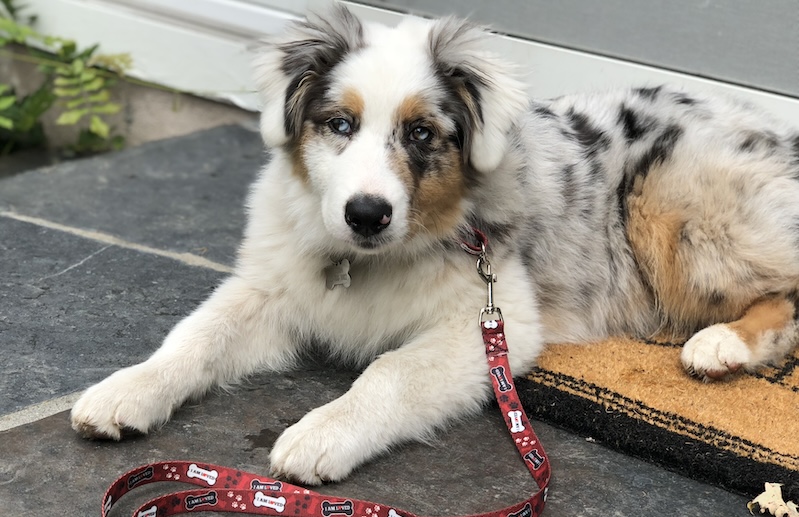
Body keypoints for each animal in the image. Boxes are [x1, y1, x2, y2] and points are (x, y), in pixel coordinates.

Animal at [69, 6, 799, 484]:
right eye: (339, 124)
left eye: (422, 133)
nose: (366, 214)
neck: (368, 261)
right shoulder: (271, 287)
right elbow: (197, 335)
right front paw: (125, 391)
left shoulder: (493, 321)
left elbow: (389, 373)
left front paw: (321, 432)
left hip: (670, 201)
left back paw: (718, 345)